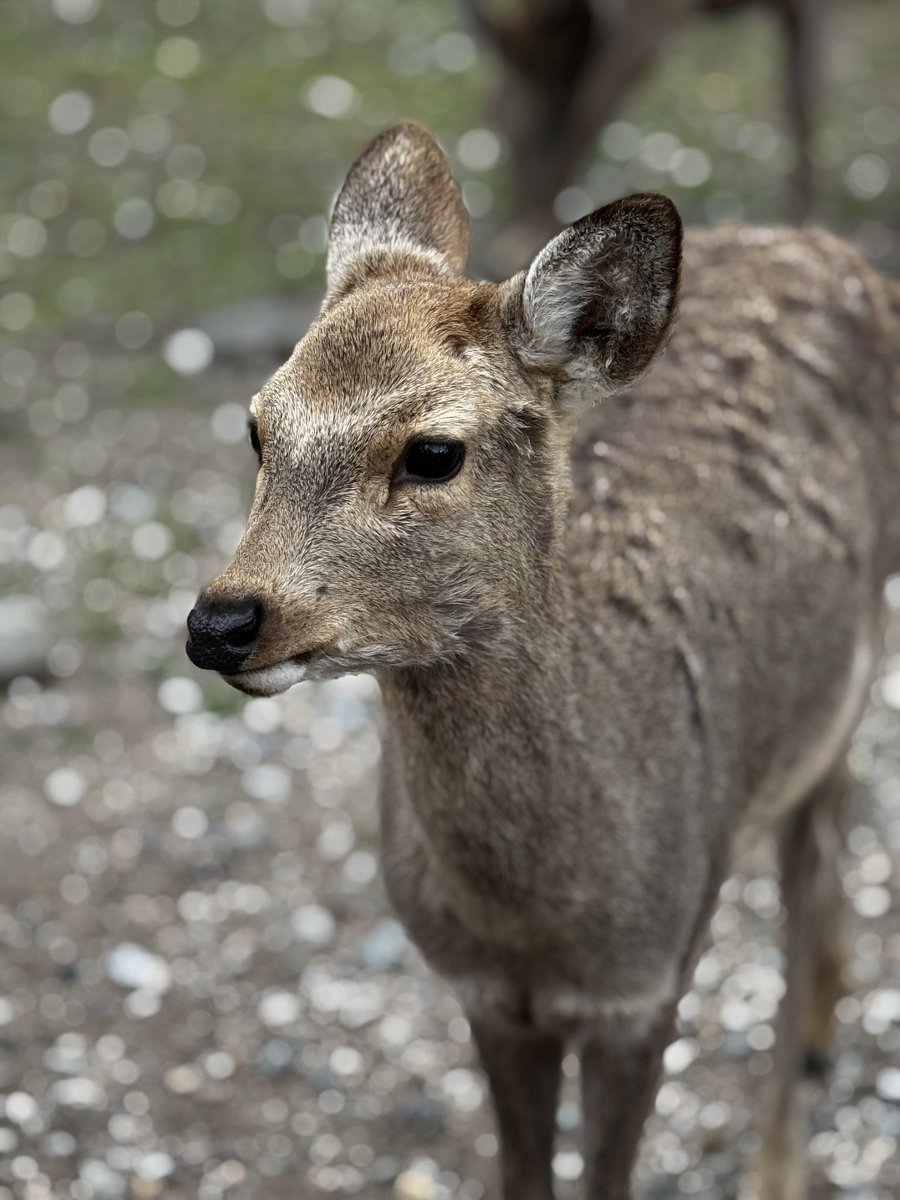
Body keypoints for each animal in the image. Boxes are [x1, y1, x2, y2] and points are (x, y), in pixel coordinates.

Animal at [185, 123, 900, 1199]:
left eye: (433, 452)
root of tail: (820, 244)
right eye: (256, 427)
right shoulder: (483, 995)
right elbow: (522, 1172)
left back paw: (783, 1144)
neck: (533, 917)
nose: (222, 621)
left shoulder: (647, 982)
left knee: (809, 875)